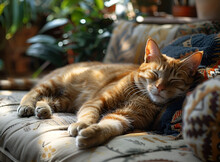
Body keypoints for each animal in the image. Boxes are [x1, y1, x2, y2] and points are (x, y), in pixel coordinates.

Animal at [16, 38, 203, 149]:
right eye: (155, 74)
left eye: (174, 81)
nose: (160, 87)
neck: (140, 95)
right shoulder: (96, 101)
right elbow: (89, 115)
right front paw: (81, 125)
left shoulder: (125, 116)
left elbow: (109, 125)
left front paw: (91, 135)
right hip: (56, 82)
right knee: (33, 92)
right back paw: (26, 106)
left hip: (64, 100)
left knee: (46, 99)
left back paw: (42, 109)